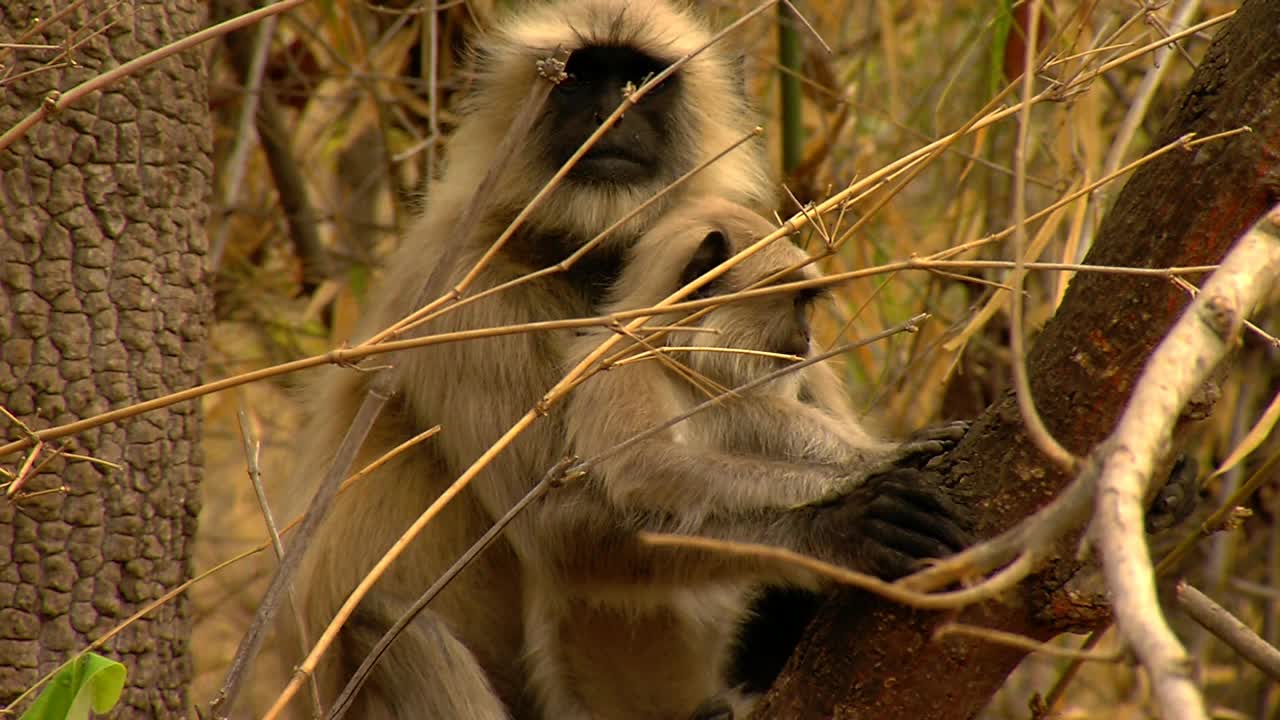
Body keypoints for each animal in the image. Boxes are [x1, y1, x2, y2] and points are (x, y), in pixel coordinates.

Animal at [281, 1, 773, 717]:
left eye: (644, 78)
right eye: (580, 77)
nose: (611, 112)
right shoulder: (465, 284)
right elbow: (558, 522)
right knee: (392, 630)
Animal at [529, 197, 967, 717]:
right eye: (794, 301)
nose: (807, 337)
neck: (672, 352)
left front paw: (879, 452)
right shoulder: (613, 372)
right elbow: (635, 475)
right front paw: (858, 485)